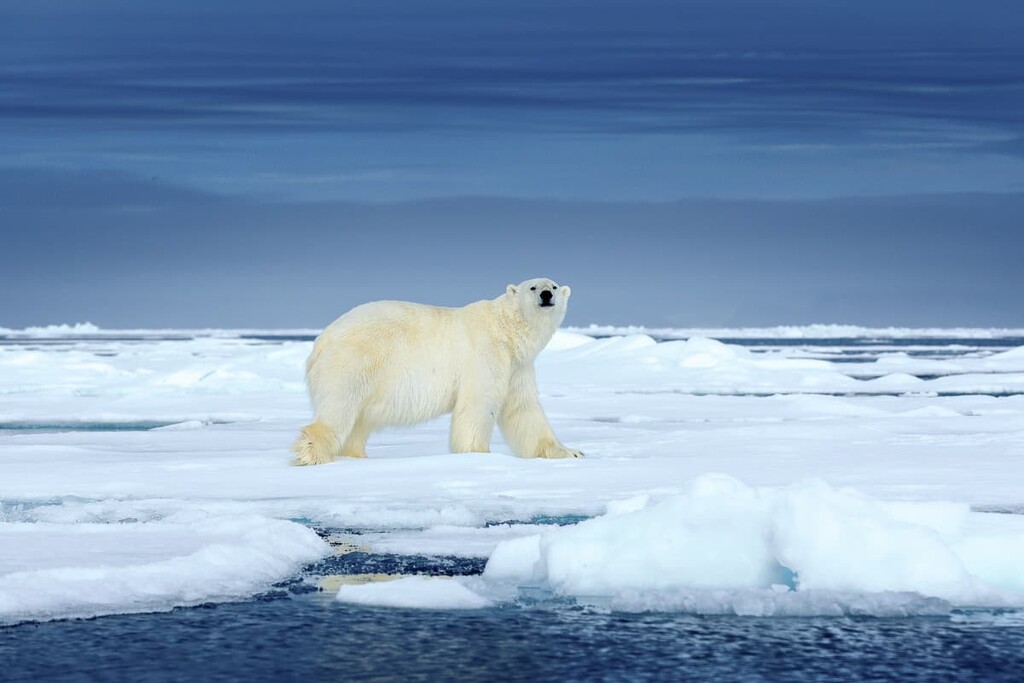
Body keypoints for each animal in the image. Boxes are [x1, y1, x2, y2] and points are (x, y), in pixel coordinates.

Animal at [291, 277, 583, 465]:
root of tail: (321, 340)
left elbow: (524, 410)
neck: (506, 330)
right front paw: (477, 453)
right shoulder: (485, 354)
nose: (546, 295)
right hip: (355, 359)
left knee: (358, 422)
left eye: (554, 286)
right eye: (532, 287)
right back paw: (312, 453)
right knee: (340, 406)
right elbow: (478, 404)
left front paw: (570, 452)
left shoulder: (517, 367)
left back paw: (355, 455)